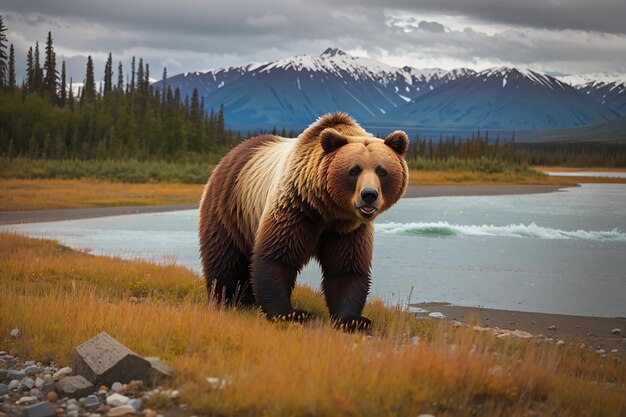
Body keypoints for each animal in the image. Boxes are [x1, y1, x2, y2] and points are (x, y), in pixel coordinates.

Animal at [197, 112, 408, 330]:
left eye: (382, 171)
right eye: (354, 170)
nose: (369, 195)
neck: (328, 209)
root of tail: (233, 152)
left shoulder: (348, 228)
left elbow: (347, 267)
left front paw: (353, 319)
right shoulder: (296, 209)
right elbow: (277, 256)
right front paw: (289, 313)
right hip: (232, 208)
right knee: (225, 257)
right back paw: (225, 298)